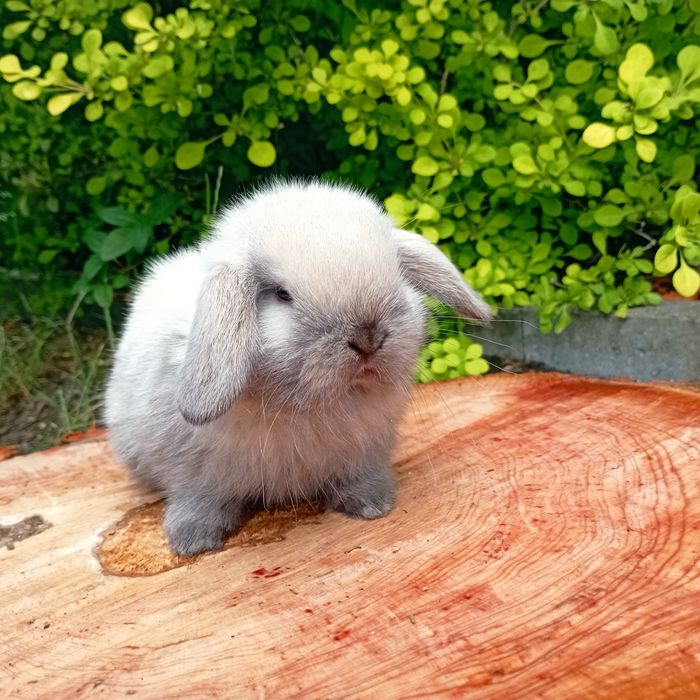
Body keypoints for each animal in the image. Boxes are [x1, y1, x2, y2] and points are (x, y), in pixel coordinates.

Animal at [105, 180, 492, 556]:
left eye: (397, 276)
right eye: (281, 294)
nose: (367, 339)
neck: (305, 403)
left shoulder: (366, 451)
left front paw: (373, 505)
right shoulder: (193, 470)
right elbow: (198, 498)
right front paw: (191, 542)